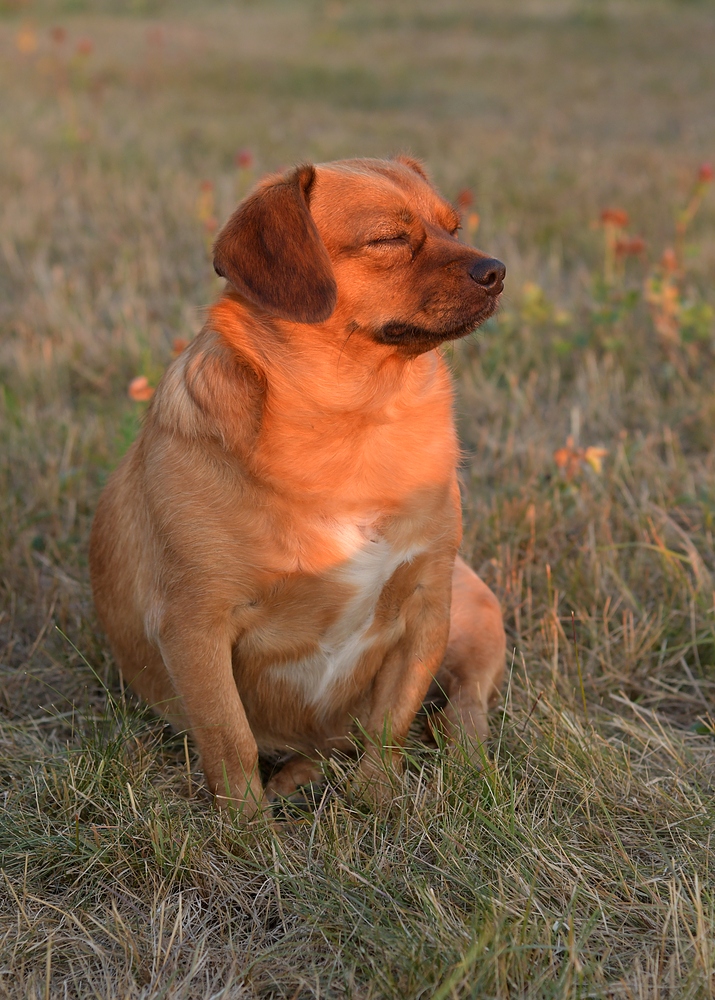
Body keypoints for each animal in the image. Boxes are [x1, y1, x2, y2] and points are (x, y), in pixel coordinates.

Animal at [89, 154, 506, 812]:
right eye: (388, 239)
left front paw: (376, 805)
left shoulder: (426, 608)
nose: (497, 270)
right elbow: (230, 740)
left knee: (462, 705)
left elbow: (391, 722)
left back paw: (465, 765)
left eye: (454, 228)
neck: (356, 424)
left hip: (479, 620)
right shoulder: (196, 629)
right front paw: (248, 829)